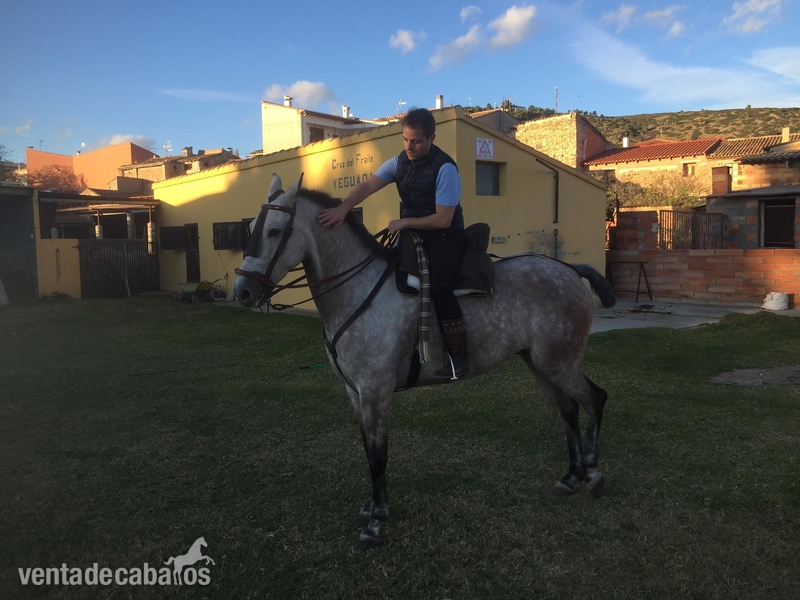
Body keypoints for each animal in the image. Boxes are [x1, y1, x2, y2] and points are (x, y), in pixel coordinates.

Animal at [234, 174, 616, 549]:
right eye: (251, 227)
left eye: (274, 231)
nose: (242, 292)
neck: (358, 290)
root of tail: (569, 268)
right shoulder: (355, 393)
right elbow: (368, 451)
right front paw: (372, 507)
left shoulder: (376, 391)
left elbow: (379, 455)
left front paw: (376, 522)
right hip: (539, 364)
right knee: (568, 411)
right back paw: (570, 477)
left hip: (560, 363)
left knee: (594, 399)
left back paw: (593, 472)